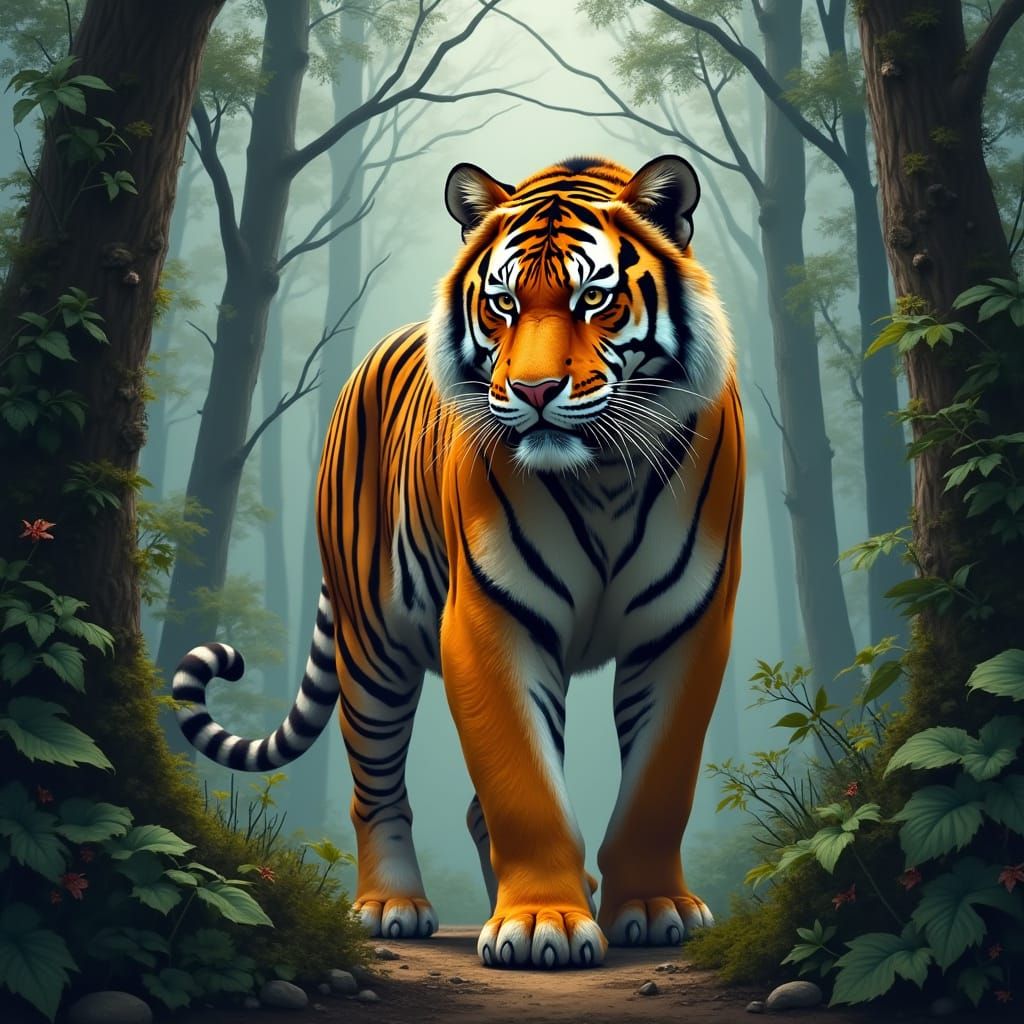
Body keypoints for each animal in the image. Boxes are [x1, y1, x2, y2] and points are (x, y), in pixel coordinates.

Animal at [173, 154, 744, 970]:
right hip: (372, 649)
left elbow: (658, 786)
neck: (602, 473)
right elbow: (522, 784)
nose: (533, 392)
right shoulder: (490, 621)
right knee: (375, 785)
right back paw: (390, 906)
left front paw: (652, 906)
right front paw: (542, 922)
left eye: (594, 298)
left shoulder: (686, 626)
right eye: (503, 303)